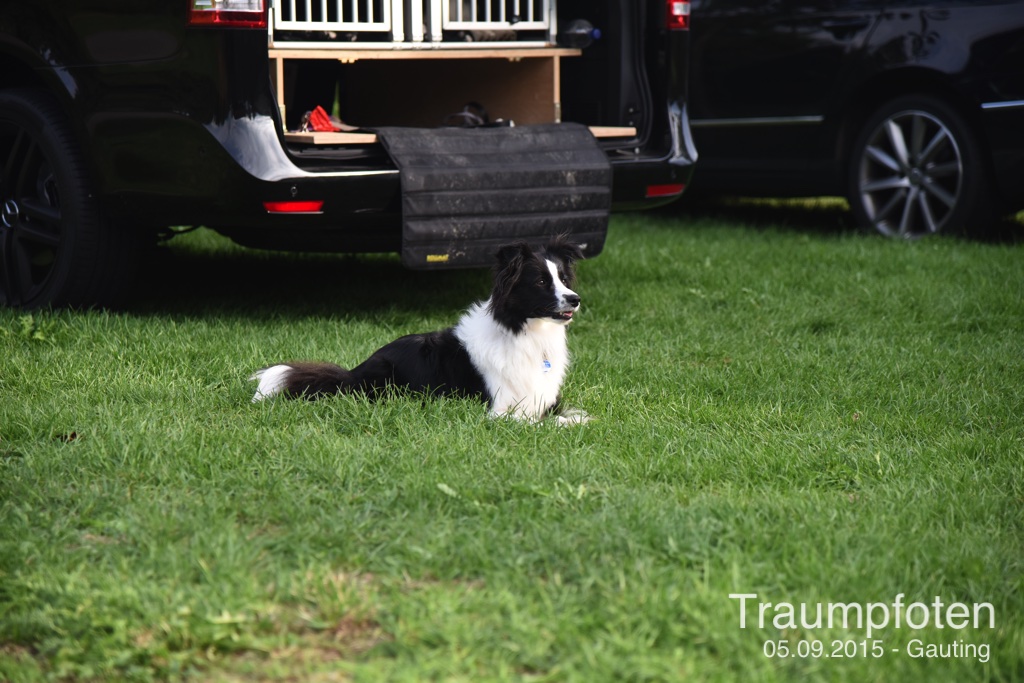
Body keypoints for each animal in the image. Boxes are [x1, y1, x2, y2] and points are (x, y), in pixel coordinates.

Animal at [249, 237, 593, 423]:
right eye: (540, 282)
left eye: (563, 279)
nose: (575, 299)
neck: (523, 331)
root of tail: (351, 374)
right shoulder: (499, 410)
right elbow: (546, 423)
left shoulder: (544, 400)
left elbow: (575, 415)